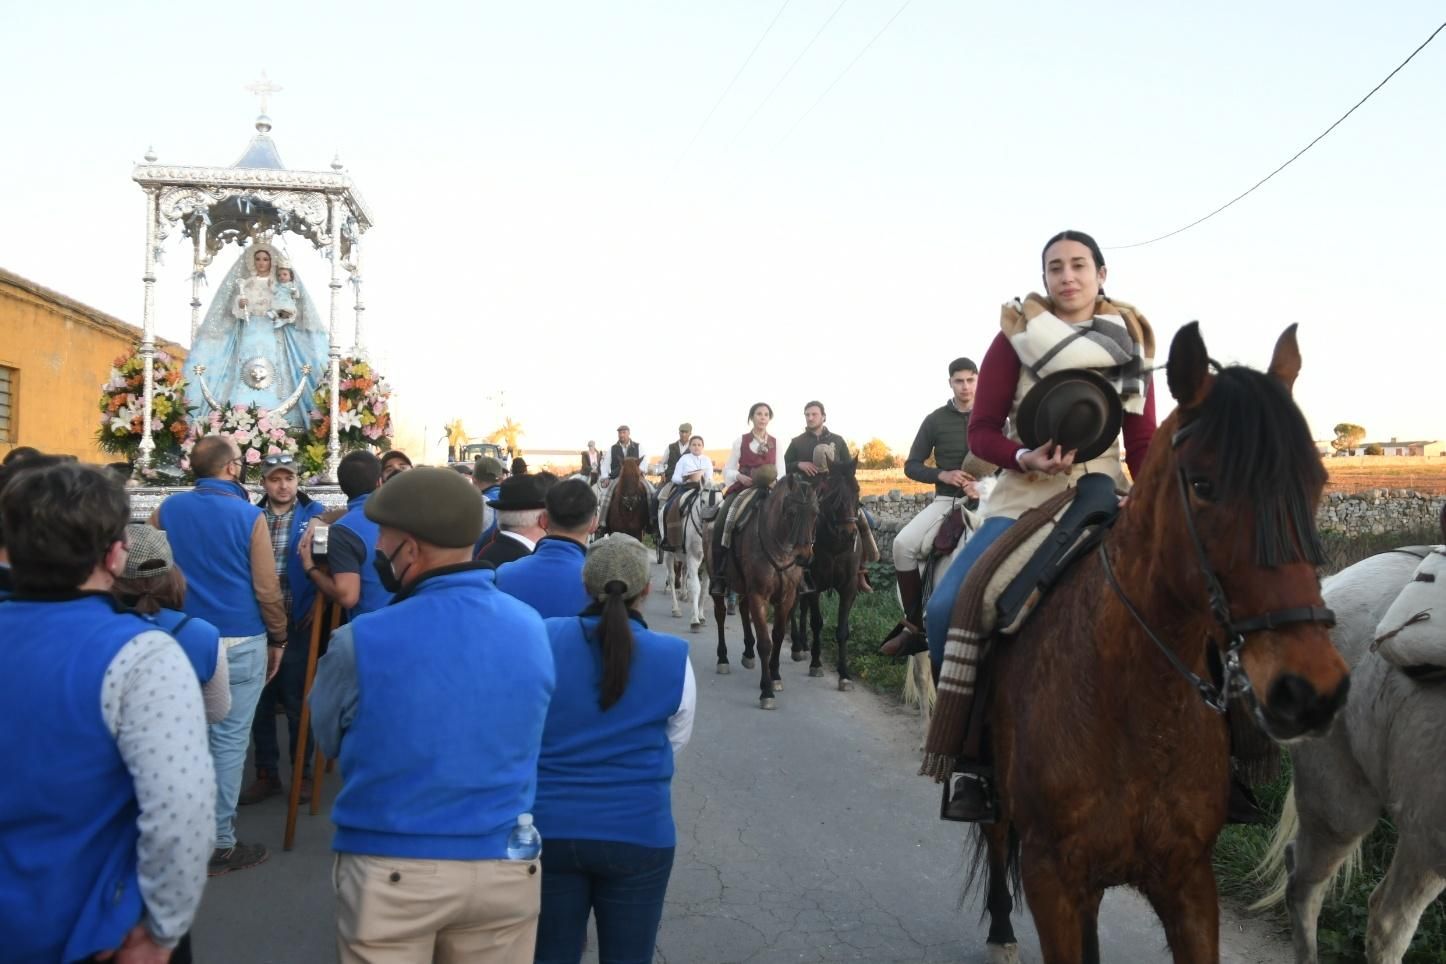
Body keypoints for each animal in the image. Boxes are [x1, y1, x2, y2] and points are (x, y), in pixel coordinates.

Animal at [659, 482, 720, 633]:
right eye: (703, 501)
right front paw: (695, 620)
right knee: (671, 577)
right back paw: (675, 608)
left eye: (720, 501)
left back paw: (683, 595)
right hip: (669, 554)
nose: (710, 527)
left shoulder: (706, 564)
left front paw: (701, 616)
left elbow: (704, 589)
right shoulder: (694, 559)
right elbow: (696, 587)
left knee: (684, 572)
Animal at [714, 474, 821, 708]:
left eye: (815, 513)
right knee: (720, 615)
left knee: (743, 610)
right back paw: (723, 659)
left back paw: (747, 654)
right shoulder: (759, 596)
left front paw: (775, 677)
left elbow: (778, 636)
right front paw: (766, 692)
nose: (804, 557)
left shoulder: (786, 598)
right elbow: (765, 642)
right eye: (791, 513)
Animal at [786, 456, 861, 690]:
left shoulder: (849, 588)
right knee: (793, 610)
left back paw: (803, 643)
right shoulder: (815, 586)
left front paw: (844, 674)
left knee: (801, 609)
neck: (835, 546)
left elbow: (843, 630)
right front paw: (816, 664)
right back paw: (797, 646)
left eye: (857, 489)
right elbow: (817, 623)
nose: (848, 533)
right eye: (832, 491)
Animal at [965, 323, 1347, 964]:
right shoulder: (1053, 879)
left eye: (1315, 483)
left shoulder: (1188, 880)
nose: (1310, 689)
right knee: (994, 837)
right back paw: (997, 931)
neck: (1136, 701)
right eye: (1203, 484)